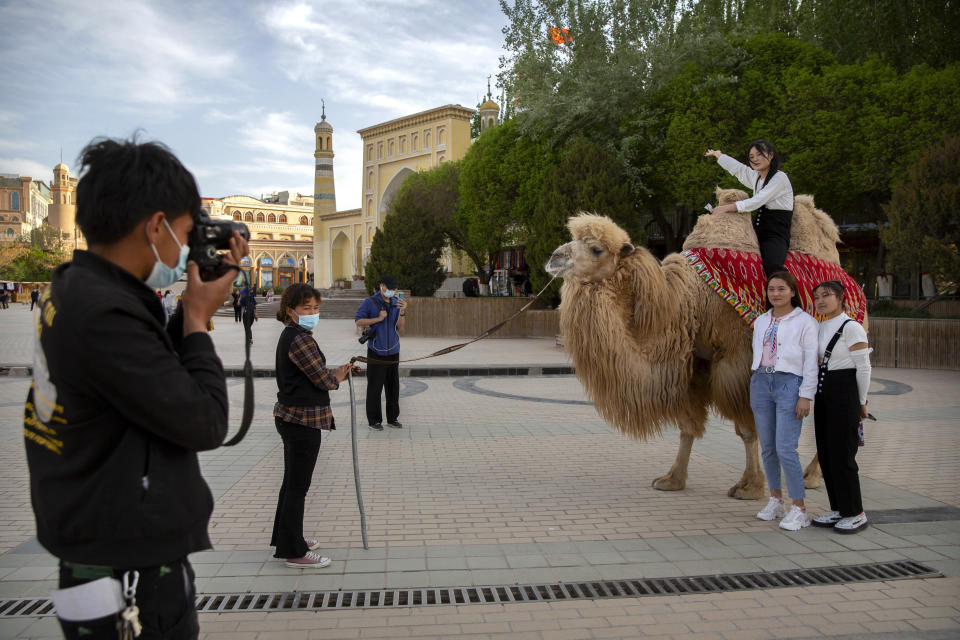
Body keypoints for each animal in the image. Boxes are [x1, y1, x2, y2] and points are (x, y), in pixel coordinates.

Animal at [548, 190, 848, 500]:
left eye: (597, 249)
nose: (555, 258)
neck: (688, 302)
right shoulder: (693, 364)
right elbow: (687, 426)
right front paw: (672, 479)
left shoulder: (736, 361)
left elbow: (746, 427)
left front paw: (750, 486)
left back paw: (811, 476)